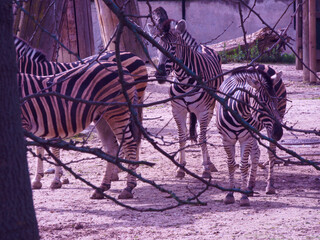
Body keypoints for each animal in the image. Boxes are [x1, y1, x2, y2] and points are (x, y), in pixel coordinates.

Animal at [14, 35, 148, 191]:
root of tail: (135, 55)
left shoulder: (49, 115)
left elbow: (51, 147)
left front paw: (56, 179)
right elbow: (40, 147)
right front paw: (38, 179)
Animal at [147, 7, 222, 178]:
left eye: (173, 48)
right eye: (156, 47)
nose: (160, 75)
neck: (185, 82)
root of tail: (201, 46)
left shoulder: (203, 111)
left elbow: (202, 138)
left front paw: (205, 169)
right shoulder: (177, 110)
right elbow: (182, 136)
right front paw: (180, 167)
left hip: (210, 107)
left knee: (203, 133)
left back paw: (209, 163)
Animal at [216, 66, 284, 206]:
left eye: (276, 100)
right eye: (262, 103)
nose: (278, 133)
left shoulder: (245, 138)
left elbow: (243, 166)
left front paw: (243, 197)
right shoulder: (226, 139)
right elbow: (231, 165)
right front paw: (230, 194)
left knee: (270, 153)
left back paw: (269, 186)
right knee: (256, 152)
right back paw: (250, 187)